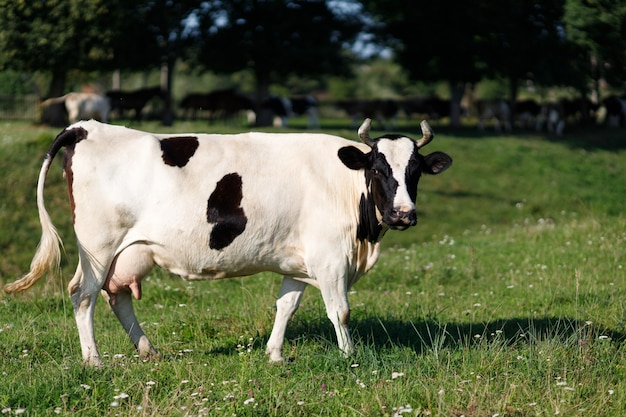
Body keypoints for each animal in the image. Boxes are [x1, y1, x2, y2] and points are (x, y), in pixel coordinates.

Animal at [6, 118, 454, 366]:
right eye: (378, 169)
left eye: (414, 171)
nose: (403, 214)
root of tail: (87, 126)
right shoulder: (329, 259)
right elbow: (340, 312)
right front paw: (351, 358)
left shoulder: (299, 261)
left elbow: (286, 306)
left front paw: (275, 355)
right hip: (97, 247)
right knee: (83, 295)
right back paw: (95, 360)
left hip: (126, 252)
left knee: (116, 297)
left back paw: (148, 351)